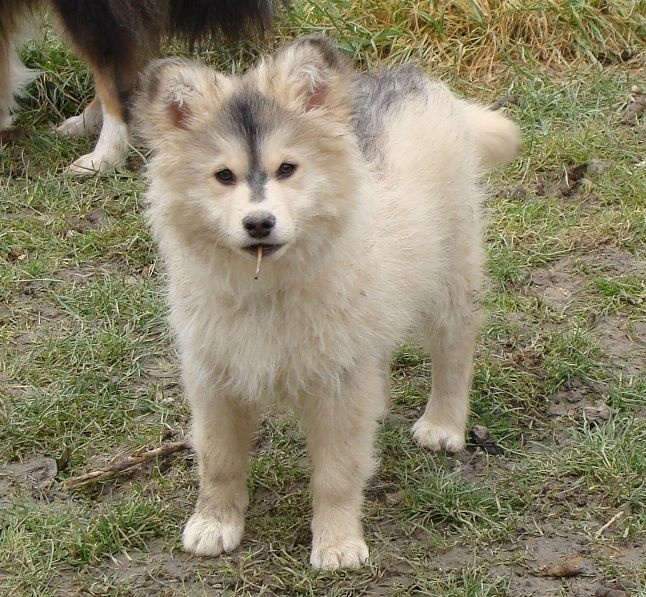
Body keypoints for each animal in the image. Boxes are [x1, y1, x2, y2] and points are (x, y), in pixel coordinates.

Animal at [134, 35, 521, 569]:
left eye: (287, 169)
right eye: (223, 176)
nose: (259, 223)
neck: (268, 289)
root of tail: (410, 79)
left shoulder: (339, 383)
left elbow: (337, 472)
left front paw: (337, 544)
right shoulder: (214, 376)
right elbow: (218, 459)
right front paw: (214, 524)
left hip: (451, 267)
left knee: (454, 348)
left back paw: (443, 424)